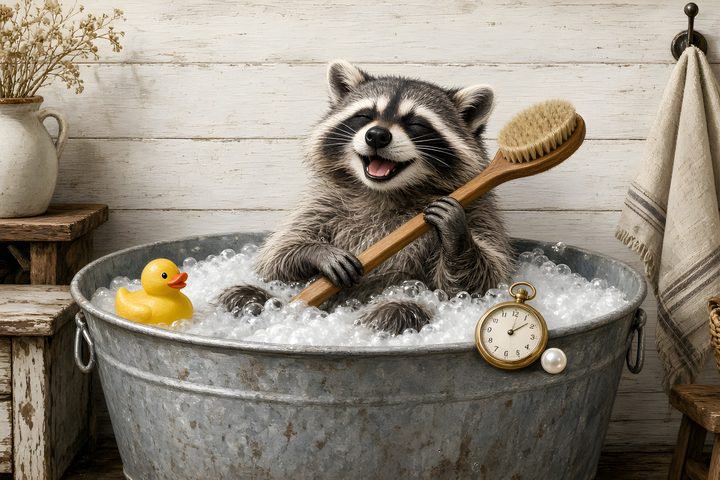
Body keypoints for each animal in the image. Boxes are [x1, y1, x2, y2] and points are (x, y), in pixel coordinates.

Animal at [219, 60, 513, 335]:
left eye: (416, 123)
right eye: (365, 116)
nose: (377, 135)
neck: (385, 191)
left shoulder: (478, 208)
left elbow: (472, 285)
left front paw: (455, 232)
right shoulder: (322, 200)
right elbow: (275, 259)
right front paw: (315, 252)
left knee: (400, 311)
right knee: (242, 294)